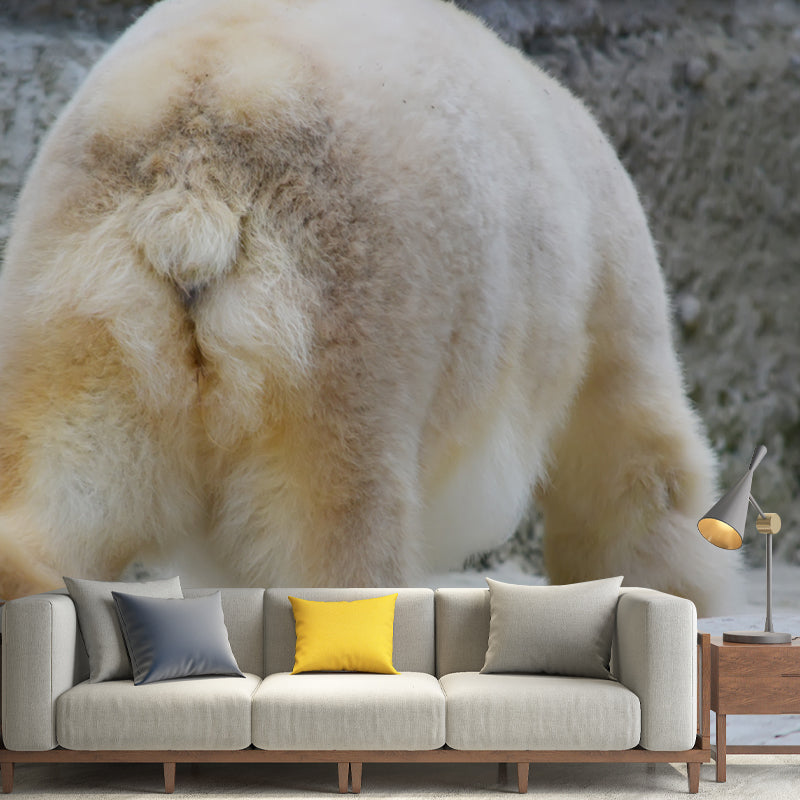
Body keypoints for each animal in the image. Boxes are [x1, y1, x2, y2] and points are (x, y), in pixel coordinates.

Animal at [0, 0, 737, 614]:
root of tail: (193, 166)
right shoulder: (599, 277)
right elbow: (630, 454)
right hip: (342, 316)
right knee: (335, 527)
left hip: (86, 302)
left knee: (69, 483)